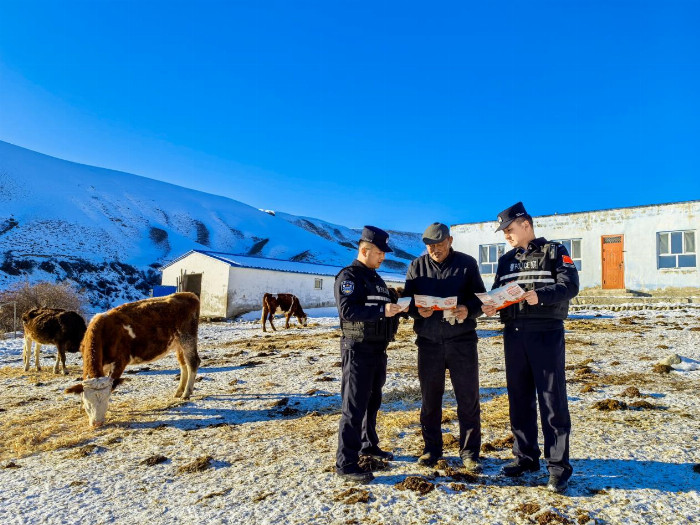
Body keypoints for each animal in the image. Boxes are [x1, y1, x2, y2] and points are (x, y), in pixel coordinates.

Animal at [65, 290, 200, 426]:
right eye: (88, 401)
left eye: (106, 399)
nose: (97, 423)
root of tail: (187, 294)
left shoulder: (120, 361)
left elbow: (112, 385)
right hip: (178, 344)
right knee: (183, 365)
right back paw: (179, 391)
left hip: (187, 339)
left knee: (193, 362)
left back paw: (186, 393)